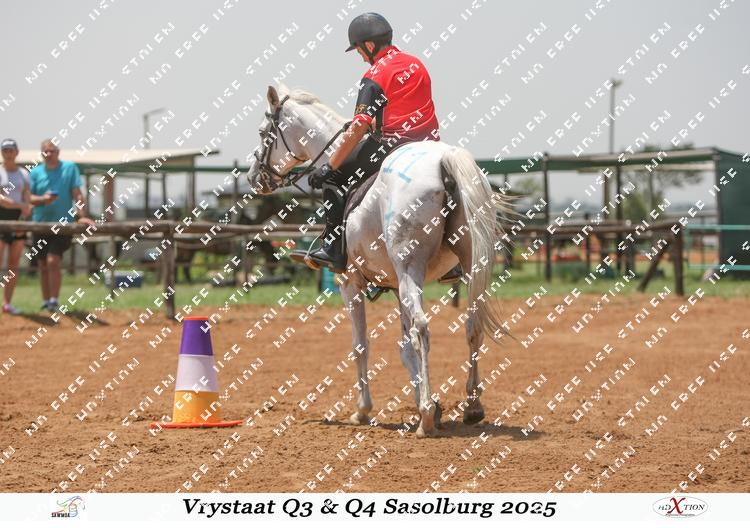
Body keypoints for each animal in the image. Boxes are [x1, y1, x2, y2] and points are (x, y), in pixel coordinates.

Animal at [246, 84, 513, 438]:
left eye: (265, 133)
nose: (254, 177)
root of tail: (443, 160)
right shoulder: (397, 286)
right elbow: (404, 348)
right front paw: (431, 401)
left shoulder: (350, 282)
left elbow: (361, 345)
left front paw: (365, 410)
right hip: (467, 268)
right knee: (472, 326)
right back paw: (471, 406)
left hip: (410, 269)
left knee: (423, 329)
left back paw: (425, 419)